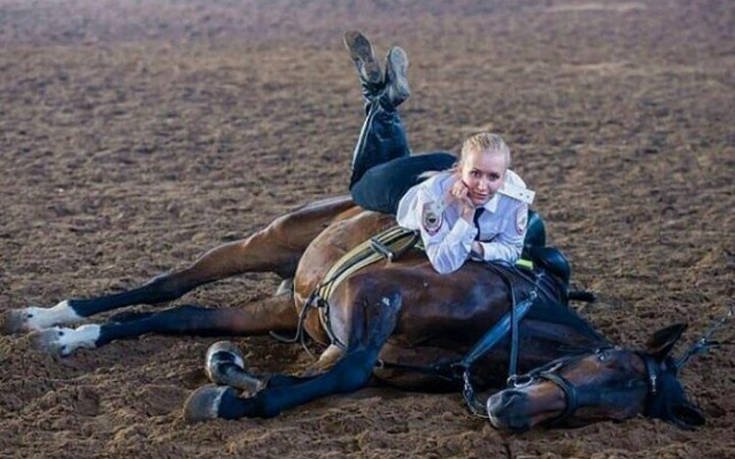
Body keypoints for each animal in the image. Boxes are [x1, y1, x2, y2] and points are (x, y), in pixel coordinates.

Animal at [1, 196, 708, 430]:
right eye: (601, 361)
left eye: (604, 413)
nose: (510, 412)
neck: (495, 325)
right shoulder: (370, 295)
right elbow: (347, 372)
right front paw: (226, 393)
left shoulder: (341, 335)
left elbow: (328, 373)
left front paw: (232, 379)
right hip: (269, 240)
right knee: (166, 284)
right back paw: (48, 316)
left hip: (276, 303)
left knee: (181, 314)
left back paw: (73, 338)